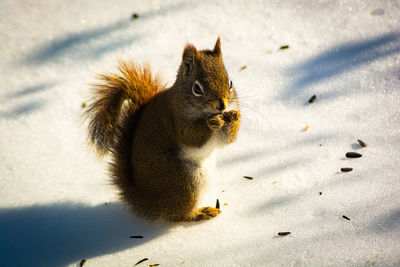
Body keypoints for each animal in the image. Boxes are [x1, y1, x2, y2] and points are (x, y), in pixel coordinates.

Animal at [84, 37, 241, 222]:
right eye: (197, 88)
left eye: (230, 83)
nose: (222, 105)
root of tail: (146, 201)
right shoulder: (175, 118)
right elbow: (191, 136)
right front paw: (212, 122)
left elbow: (226, 140)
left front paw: (235, 117)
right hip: (182, 181)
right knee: (178, 215)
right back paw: (200, 212)